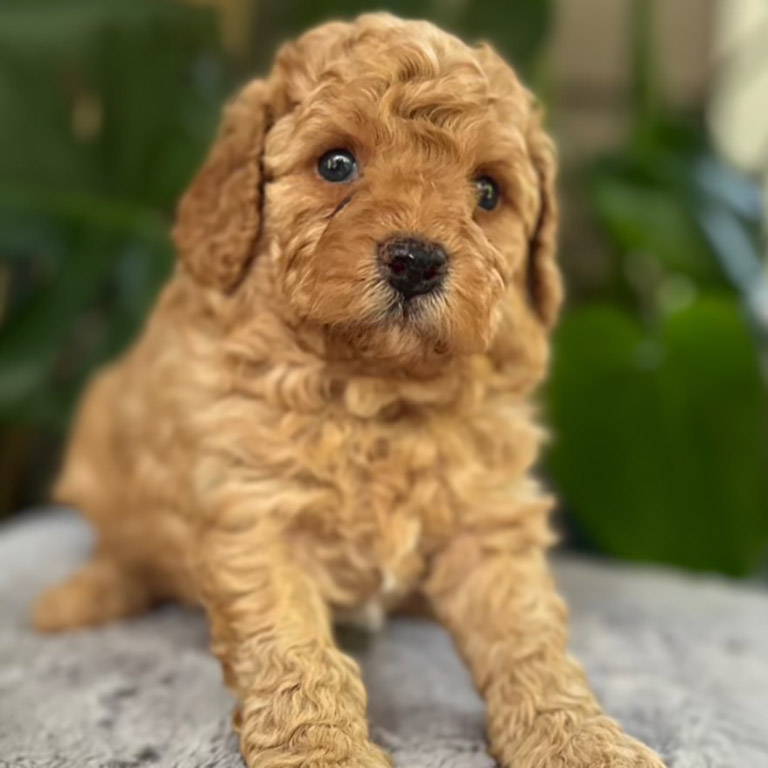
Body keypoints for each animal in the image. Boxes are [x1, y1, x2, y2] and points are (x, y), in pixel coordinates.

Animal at [33, 13, 664, 768]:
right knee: (120, 545)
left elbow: (531, 644)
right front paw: (322, 751)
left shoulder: (490, 518)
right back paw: (83, 595)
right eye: (336, 164)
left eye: (488, 192)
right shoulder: (256, 511)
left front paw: (579, 738)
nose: (416, 260)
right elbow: (295, 654)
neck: (374, 387)